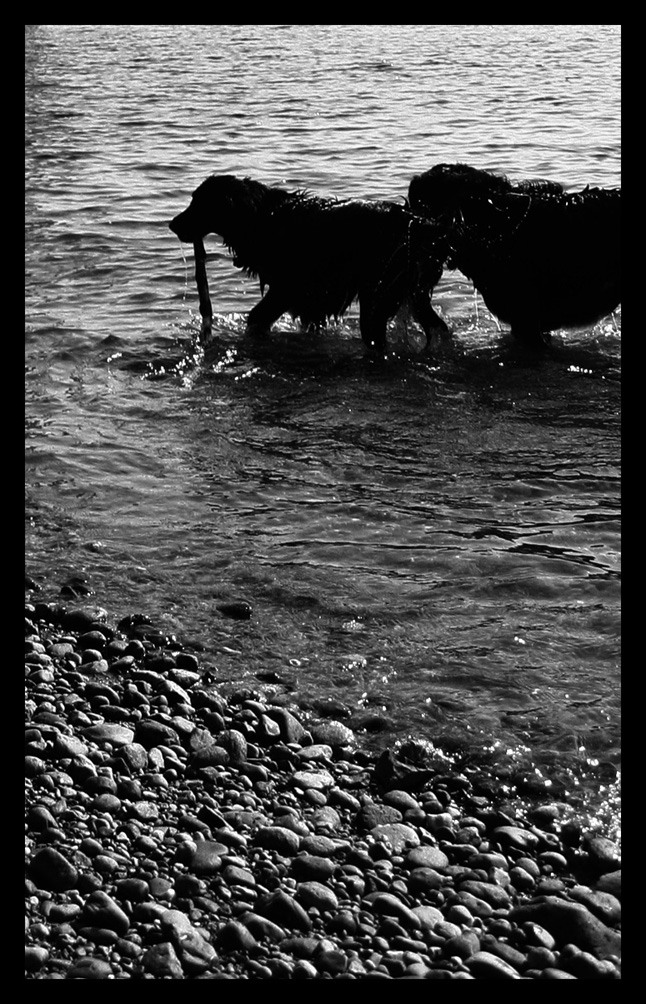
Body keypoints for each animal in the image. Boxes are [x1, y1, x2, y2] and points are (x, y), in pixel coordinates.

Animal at [169, 175, 450, 353]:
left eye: (199, 204)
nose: (172, 224)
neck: (260, 217)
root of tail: (418, 221)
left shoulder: (286, 289)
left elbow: (257, 317)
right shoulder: (309, 303)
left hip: (377, 299)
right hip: (410, 294)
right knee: (438, 328)